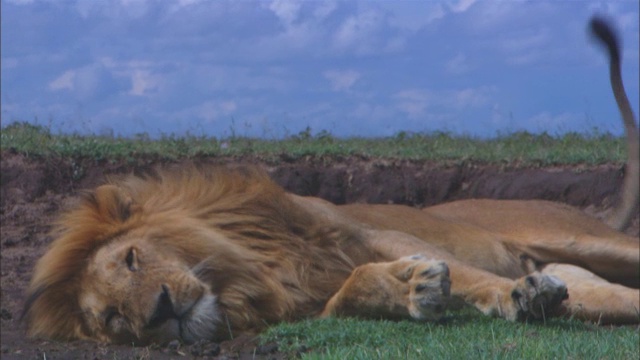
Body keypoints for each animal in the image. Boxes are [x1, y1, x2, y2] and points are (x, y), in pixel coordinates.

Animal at [22, 15, 636, 344]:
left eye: (132, 259)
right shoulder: (304, 306)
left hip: (580, 237)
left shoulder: (381, 233)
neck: (259, 267)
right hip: (585, 279)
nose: (158, 312)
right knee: (612, 298)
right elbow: (346, 297)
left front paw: (512, 294)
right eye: (114, 320)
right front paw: (410, 288)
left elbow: (464, 273)